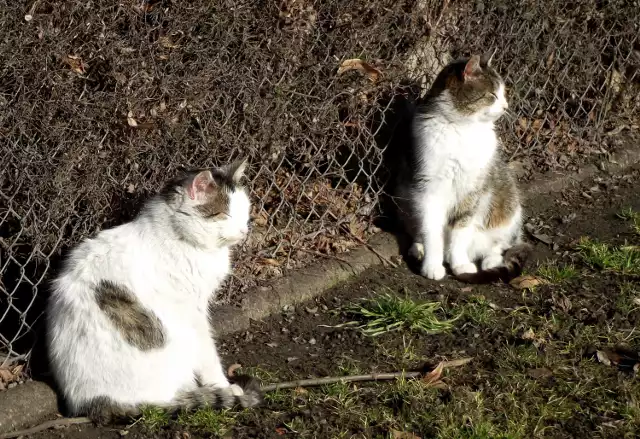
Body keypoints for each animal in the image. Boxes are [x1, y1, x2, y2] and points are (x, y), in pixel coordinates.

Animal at [45, 160, 262, 424]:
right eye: (224, 214)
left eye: (244, 210)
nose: (244, 231)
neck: (178, 235)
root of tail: (94, 403)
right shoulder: (194, 311)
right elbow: (209, 354)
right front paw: (224, 386)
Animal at [396, 54, 528, 282]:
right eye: (492, 95)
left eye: (503, 94)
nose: (505, 106)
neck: (462, 128)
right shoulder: (428, 188)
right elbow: (431, 230)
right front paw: (432, 265)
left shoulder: (472, 190)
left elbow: (461, 229)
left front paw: (460, 264)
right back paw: (419, 249)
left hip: (510, 210)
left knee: (500, 245)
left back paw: (490, 260)